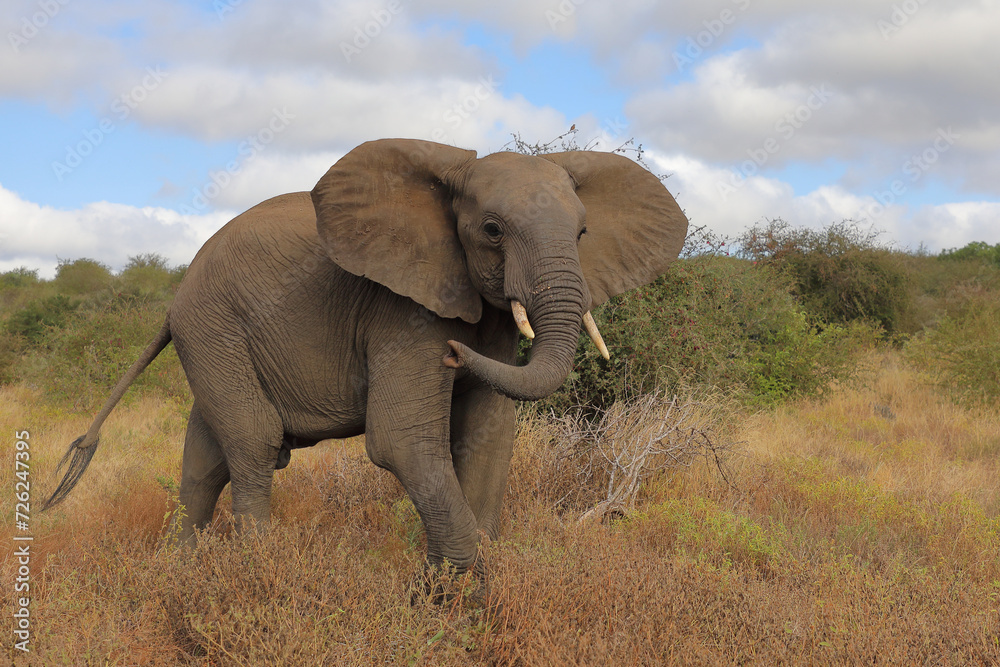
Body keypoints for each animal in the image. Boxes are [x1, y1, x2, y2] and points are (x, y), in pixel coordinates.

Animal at [45, 138, 688, 582]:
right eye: (492, 229)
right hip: (211, 327)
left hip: (212, 337)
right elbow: (401, 441)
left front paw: (460, 594)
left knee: (205, 458)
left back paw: (181, 575)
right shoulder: (401, 308)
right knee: (253, 440)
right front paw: (453, 598)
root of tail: (175, 294)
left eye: (582, 233)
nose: (454, 354)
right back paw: (255, 575)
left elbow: (487, 434)